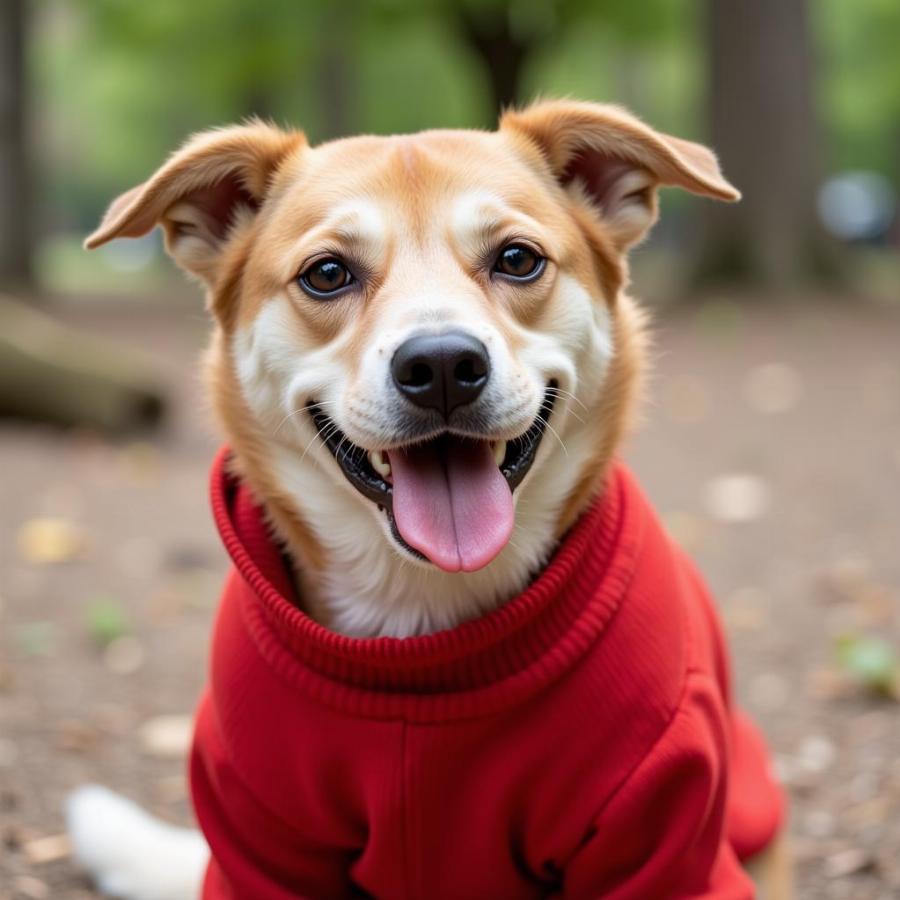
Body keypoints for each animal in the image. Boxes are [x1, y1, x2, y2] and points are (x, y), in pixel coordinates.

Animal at [67, 102, 792, 896]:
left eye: (517, 259)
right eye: (327, 273)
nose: (443, 364)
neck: (426, 622)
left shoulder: (664, 824)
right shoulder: (255, 838)